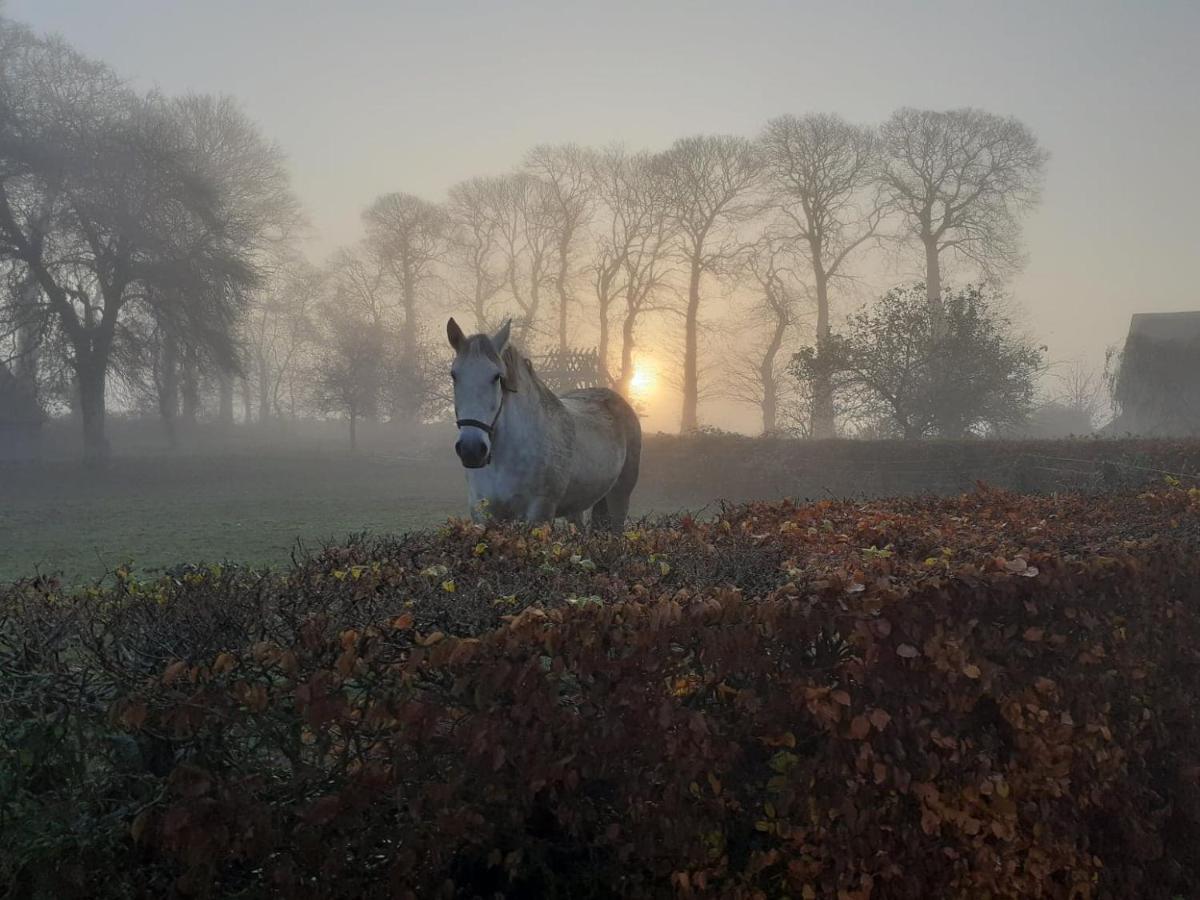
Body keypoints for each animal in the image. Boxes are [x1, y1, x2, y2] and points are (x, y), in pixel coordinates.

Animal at [446, 319, 643, 532]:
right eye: (454, 375)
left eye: (496, 376)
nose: (471, 449)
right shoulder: (482, 514)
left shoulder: (539, 513)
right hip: (577, 508)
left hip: (619, 497)